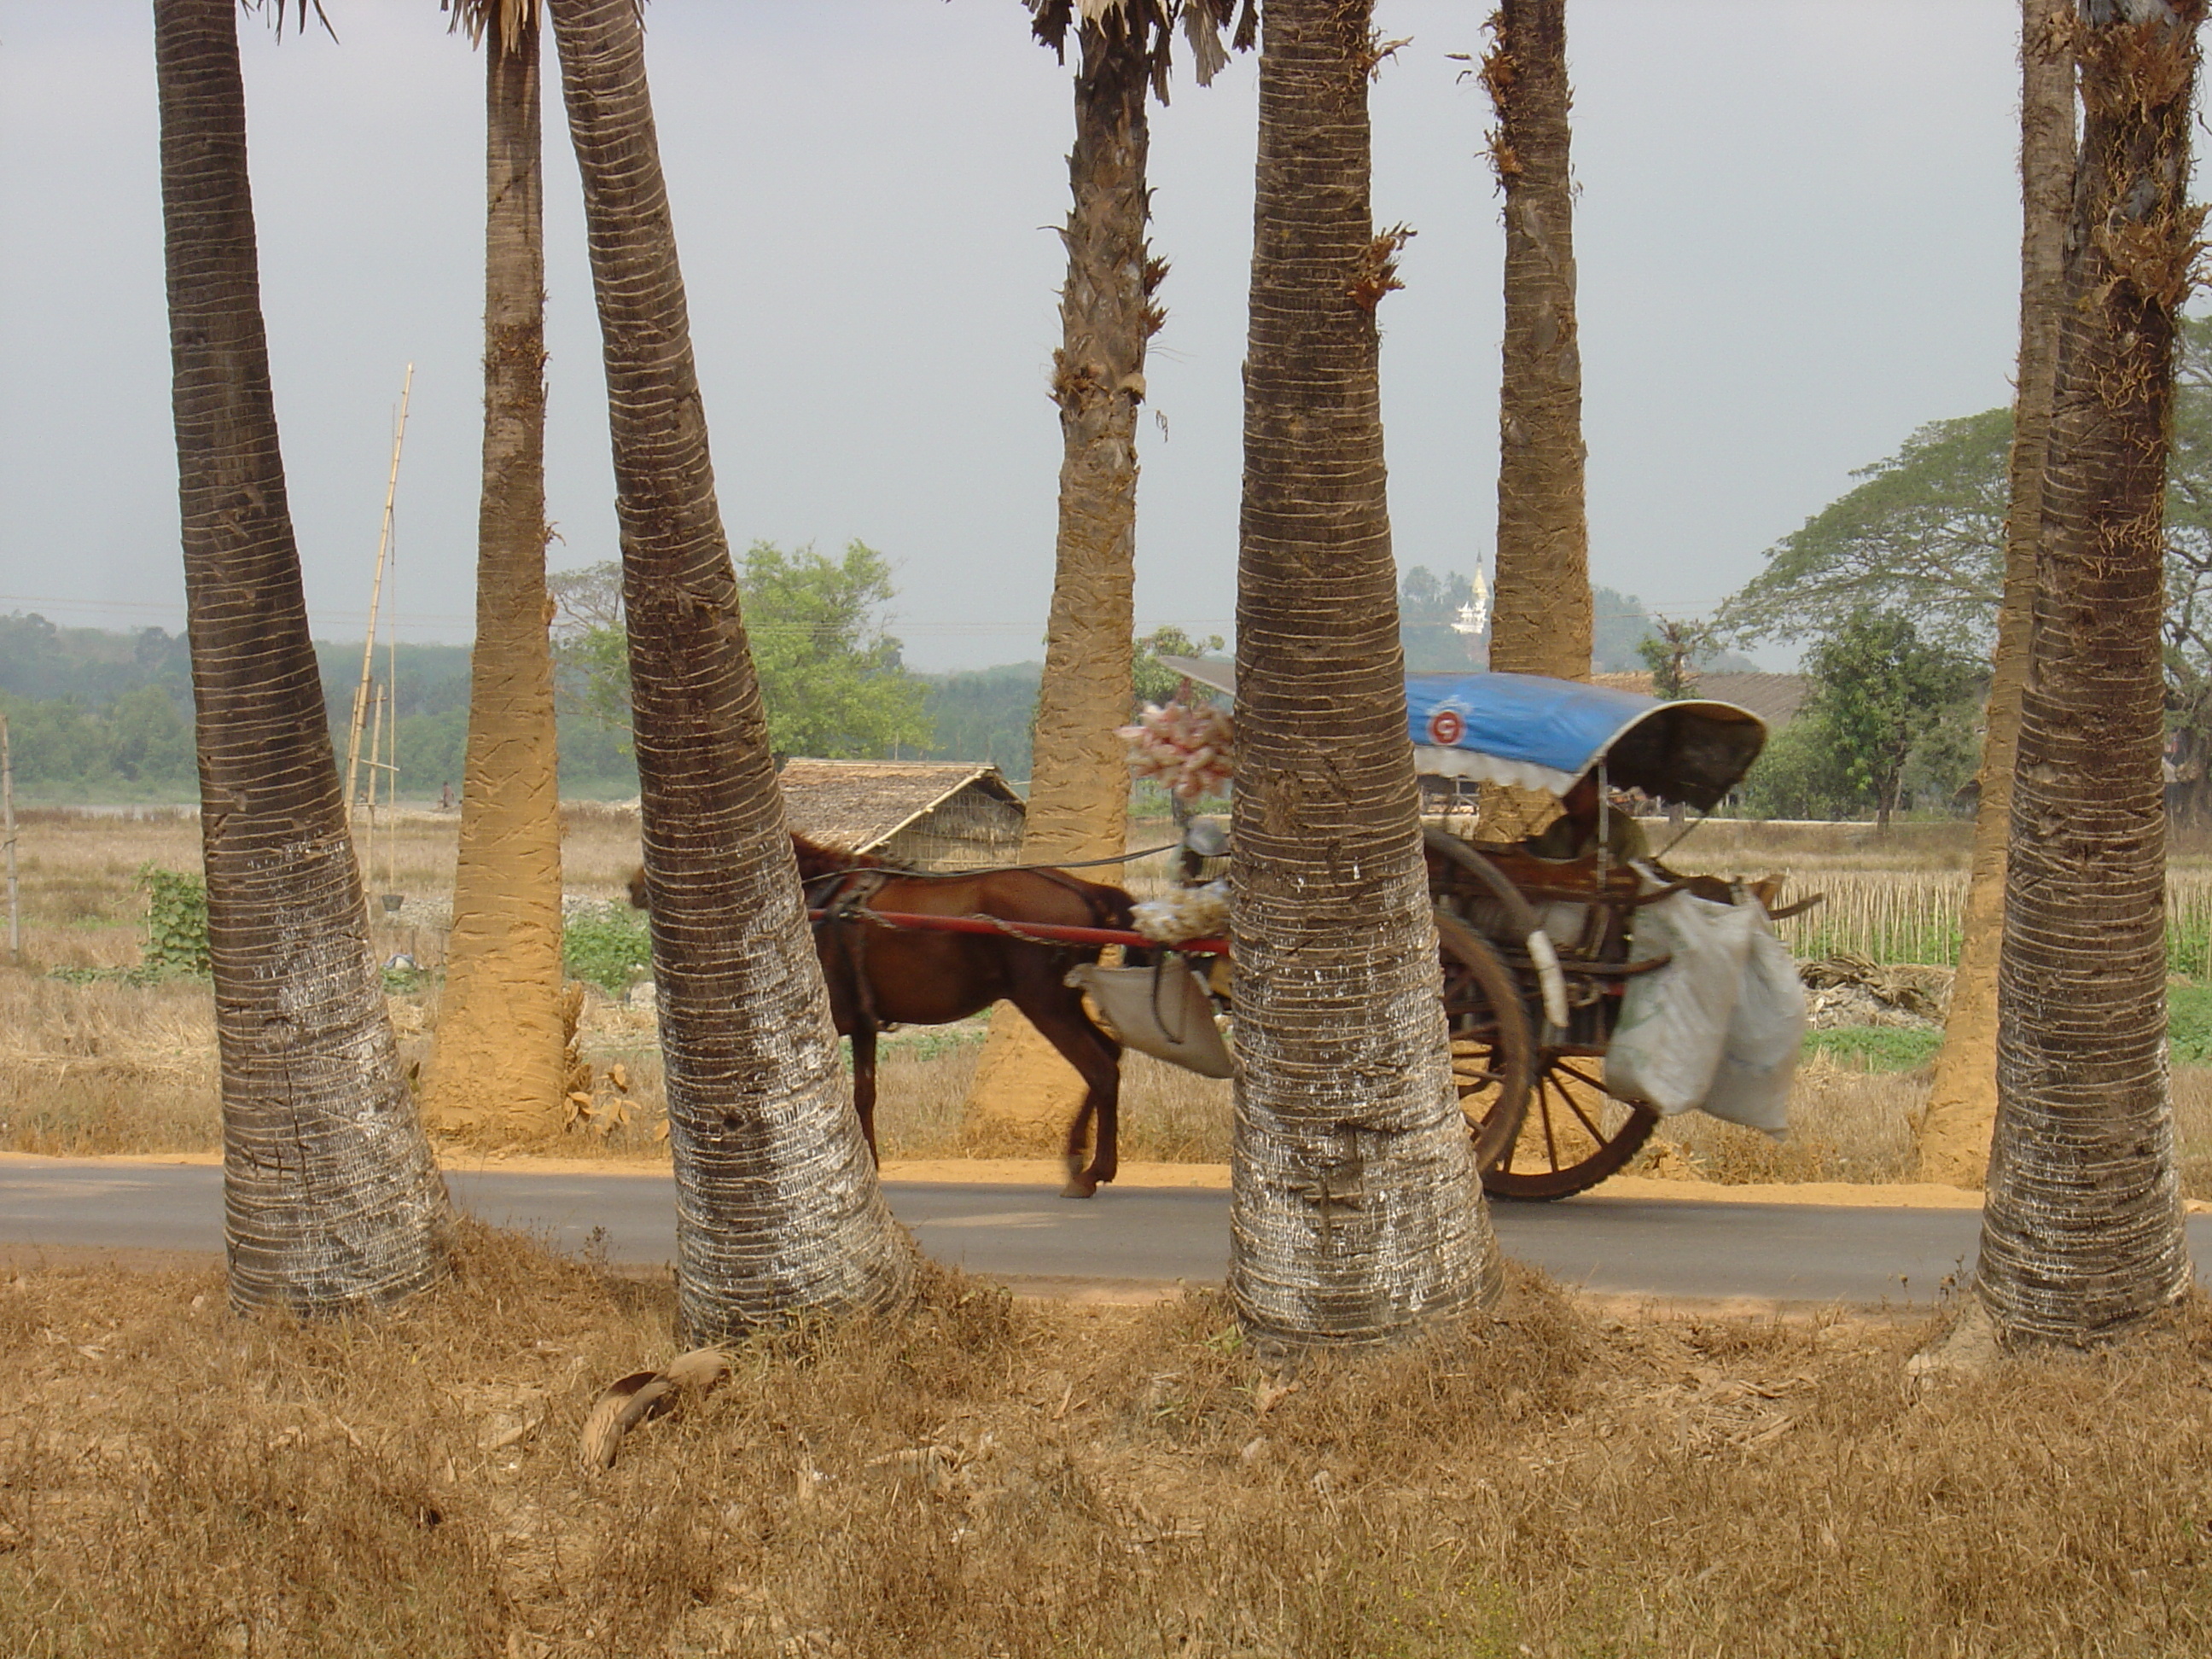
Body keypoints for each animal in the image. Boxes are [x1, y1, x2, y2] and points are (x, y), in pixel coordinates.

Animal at [623, 835, 1141, 1203]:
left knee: (1100, 1068)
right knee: (1109, 1056)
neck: (810, 899)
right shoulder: (862, 1023)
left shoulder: (817, 1019)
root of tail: (1086, 891)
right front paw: (867, 1166)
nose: (633, 886)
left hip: (1044, 1002)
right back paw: (1082, 1158)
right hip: (1062, 1001)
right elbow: (864, 1094)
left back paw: (1091, 1172)